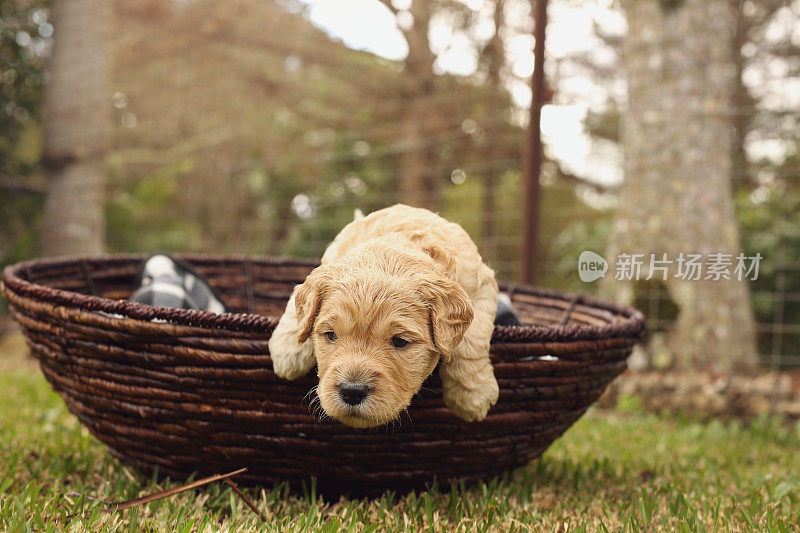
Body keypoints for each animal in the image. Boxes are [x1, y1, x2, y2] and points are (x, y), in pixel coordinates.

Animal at [268, 202, 496, 426]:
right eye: (331, 335)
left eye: (400, 341)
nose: (352, 392)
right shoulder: (328, 262)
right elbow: (299, 298)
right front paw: (287, 352)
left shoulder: (480, 286)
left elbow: (472, 340)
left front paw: (472, 395)